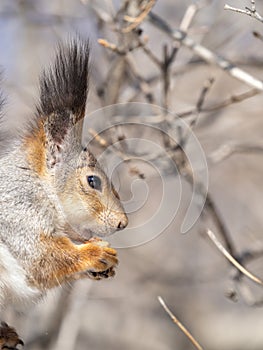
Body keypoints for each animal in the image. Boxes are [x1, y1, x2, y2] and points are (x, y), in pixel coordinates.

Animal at [0, 38, 128, 348]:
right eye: (92, 181)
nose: (122, 222)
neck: (38, 186)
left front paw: (103, 267)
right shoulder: (16, 213)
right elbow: (40, 256)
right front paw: (95, 253)